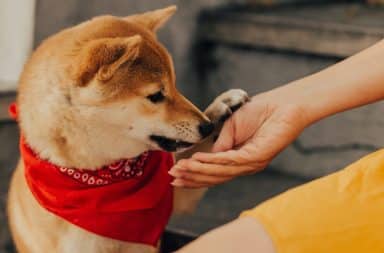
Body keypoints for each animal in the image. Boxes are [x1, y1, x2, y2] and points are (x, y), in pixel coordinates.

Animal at [8, 5, 249, 253]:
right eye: (156, 95)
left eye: (175, 85)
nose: (207, 126)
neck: (104, 179)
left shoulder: (176, 194)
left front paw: (222, 106)